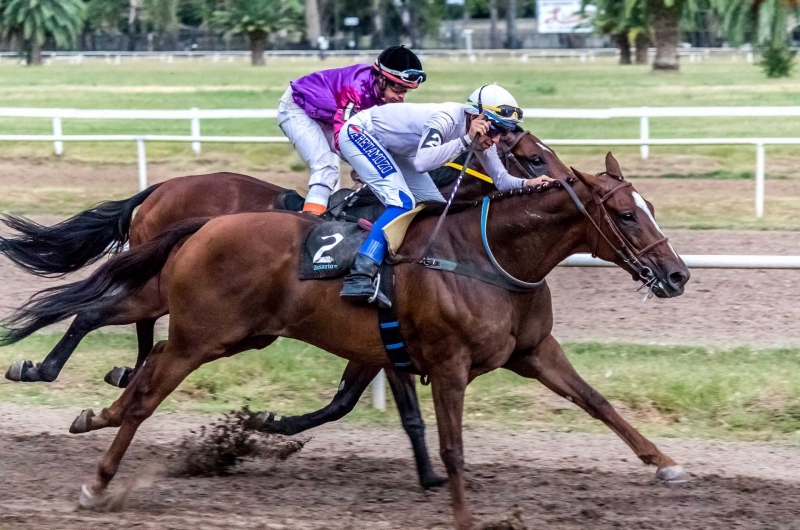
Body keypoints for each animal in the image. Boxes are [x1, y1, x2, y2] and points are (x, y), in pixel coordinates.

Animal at [3, 153, 692, 524]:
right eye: (626, 214)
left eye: (651, 207)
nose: (678, 275)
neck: (485, 256)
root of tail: (202, 221)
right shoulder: (446, 362)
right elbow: (448, 444)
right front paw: (461, 510)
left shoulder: (530, 352)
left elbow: (598, 403)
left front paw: (666, 463)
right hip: (201, 332)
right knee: (140, 381)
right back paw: (95, 478)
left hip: (234, 334)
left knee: (137, 366)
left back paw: (94, 409)